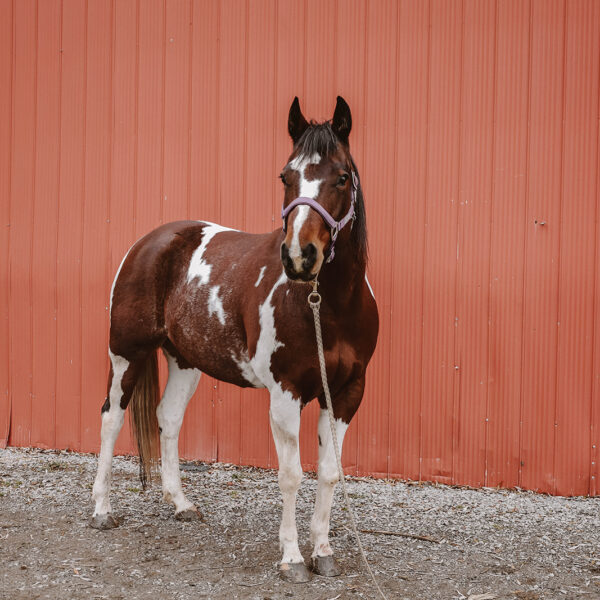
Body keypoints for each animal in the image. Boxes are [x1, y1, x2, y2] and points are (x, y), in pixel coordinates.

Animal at [90, 97, 380, 580]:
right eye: (286, 176)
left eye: (341, 176)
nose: (300, 256)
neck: (328, 307)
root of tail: (149, 242)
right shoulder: (286, 393)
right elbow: (291, 475)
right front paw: (292, 558)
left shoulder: (346, 393)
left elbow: (329, 472)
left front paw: (323, 552)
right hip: (126, 352)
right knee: (112, 417)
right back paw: (101, 510)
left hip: (185, 360)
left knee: (167, 418)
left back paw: (181, 505)